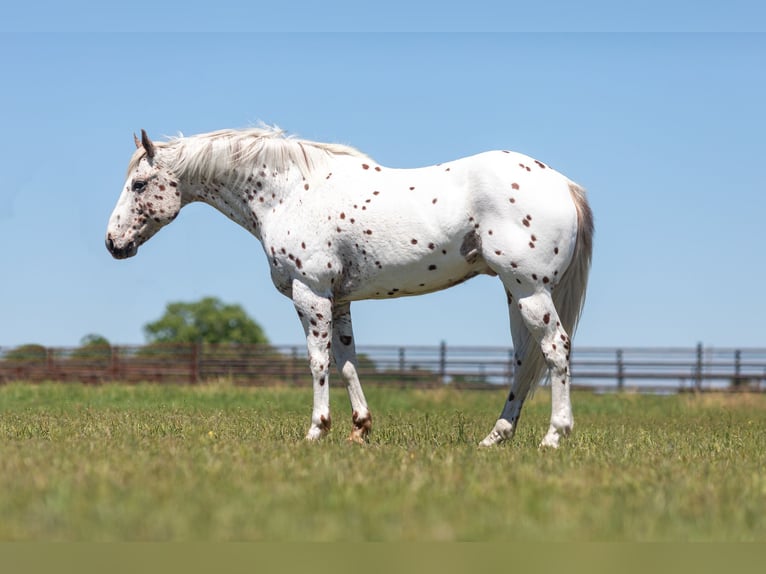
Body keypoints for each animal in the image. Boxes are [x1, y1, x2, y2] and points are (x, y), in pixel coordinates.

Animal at [105, 127, 592, 450]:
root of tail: (563, 183)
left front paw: (317, 430)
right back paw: (495, 438)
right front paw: (360, 427)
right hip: (517, 295)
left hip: (529, 291)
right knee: (526, 361)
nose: (113, 243)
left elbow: (318, 362)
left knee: (555, 349)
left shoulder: (311, 294)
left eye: (139, 184)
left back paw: (554, 437)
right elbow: (347, 362)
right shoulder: (339, 301)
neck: (290, 193)